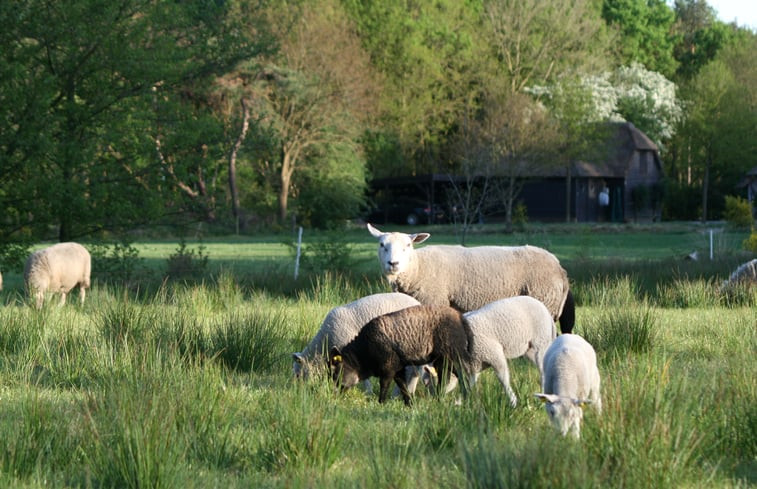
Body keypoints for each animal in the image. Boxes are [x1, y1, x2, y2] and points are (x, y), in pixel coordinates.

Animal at [328, 304, 470, 404]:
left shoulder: (388, 367)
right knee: (449, 376)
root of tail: (460, 317)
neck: (363, 354)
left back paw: (463, 397)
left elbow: (384, 386)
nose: (335, 396)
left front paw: (381, 403)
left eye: (336, 373)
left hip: (450, 354)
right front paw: (410, 404)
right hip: (443, 359)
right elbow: (403, 387)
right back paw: (447, 398)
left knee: (459, 374)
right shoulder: (397, 368)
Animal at [366, 223, 572, 334]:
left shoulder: (434, 300)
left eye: (408, 245)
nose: (393, 263)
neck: (418, 267)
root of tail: (559, 267)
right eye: (382, 244)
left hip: (544, 300)